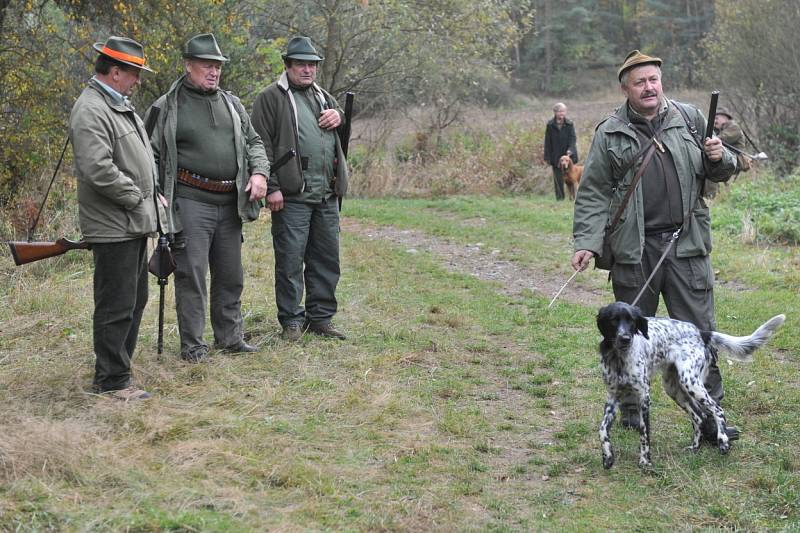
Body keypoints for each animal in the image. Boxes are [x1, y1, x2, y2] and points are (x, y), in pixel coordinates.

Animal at [596, 302, 784, 468]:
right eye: (613, 320)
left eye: (632, 321)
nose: (625, 339)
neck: (618, 359)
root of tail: (701, 332)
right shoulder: (612, 397)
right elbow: (602, 430)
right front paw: (608, 457)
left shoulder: (644, 398)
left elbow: (644, 434)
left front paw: (645, 461)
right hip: (675, 388)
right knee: (699, 416)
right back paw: (695, 447)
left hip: (691, 384)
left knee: (717, 410)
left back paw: (723, 441)